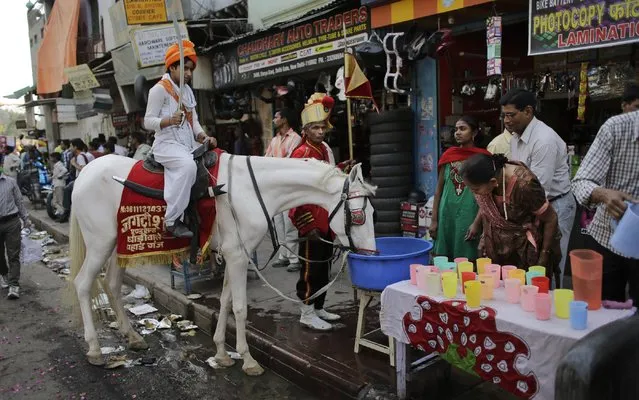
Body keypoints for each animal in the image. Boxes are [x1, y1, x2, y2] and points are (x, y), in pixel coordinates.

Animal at [69, 152, 380, 376]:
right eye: (359, 216)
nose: (371, 253)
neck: (253, 190)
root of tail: (85, 173)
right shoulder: (239, 256)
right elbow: (240, 308)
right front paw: (248, 359)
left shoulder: (235, 255)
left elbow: (226, 301)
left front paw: (221, 353)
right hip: (99, 244)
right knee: (82, 285)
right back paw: (95, 349)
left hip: (118, 247)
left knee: (111, 284)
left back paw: (132, 336)